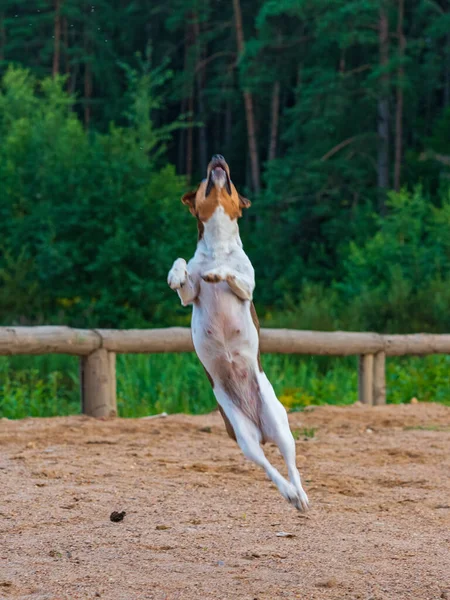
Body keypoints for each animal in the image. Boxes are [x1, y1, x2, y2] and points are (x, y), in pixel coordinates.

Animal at [169, 155, 310, 510]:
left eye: (231, 182)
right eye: (204, 180)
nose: (218, 157)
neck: (219, 244)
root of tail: (260, 427)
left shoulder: (247, 287)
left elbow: (231, 274)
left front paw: (217, 272)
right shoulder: (189, 295)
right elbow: (183, 266)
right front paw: (177, 273)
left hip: (281, 426)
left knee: (291, 464)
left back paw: (300, 495)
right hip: (242, 435)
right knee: (267, 465)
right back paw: (288, 493)